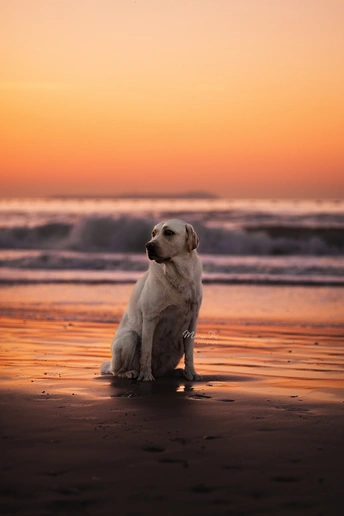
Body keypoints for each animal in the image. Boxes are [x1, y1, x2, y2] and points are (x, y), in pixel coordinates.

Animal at [100, 218, 202, 378]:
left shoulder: (193, 320)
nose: (148, 245)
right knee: (117, 371)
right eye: (153, 234)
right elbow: (147, 351)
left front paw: (191, 373)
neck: (178, 276)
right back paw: (129, 373)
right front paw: (146, 376)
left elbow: (190, 353)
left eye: (168, 232)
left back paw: (176, 372)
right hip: (129, 338)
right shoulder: (149, 318)